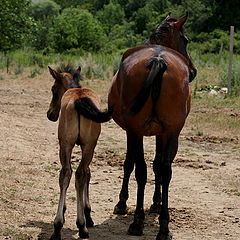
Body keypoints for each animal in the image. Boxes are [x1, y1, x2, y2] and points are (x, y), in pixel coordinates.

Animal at [47, 65, 112, 240]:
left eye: (53, 89)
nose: (50, 114)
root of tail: (79, 99)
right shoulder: (88, 146)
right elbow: (86, 174)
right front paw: (87, 215)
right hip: (85, 145)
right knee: (78, 174)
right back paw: (79, 225)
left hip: (67, 144)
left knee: (68, 173)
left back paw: (62, 226)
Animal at [109, 13, 197, 240]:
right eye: (186, 40)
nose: (193, 71)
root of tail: (158, 60)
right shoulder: (160, 133)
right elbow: (156, 165)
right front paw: (155, 203)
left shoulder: (134, 132)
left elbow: (132, 164)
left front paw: (123, 202)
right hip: (170, 132)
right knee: (164, 170)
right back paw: (163, 227)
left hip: (140, 131)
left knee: (143, 169)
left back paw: (138, 222)